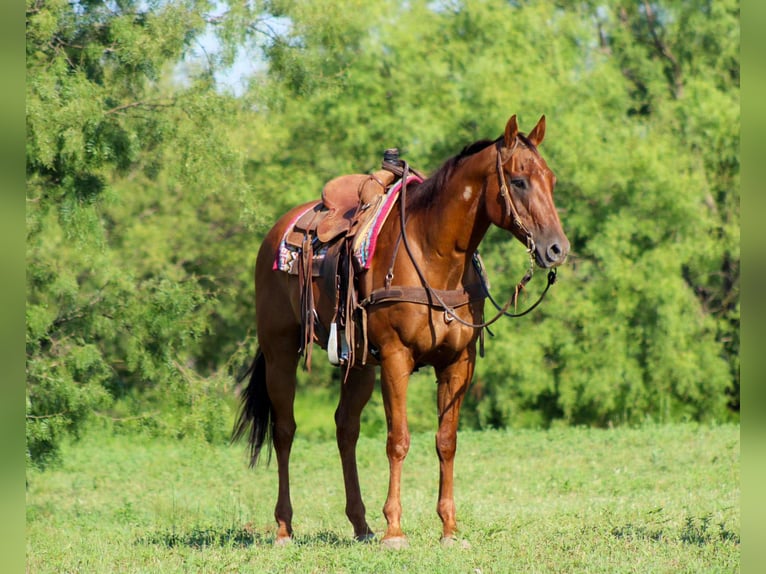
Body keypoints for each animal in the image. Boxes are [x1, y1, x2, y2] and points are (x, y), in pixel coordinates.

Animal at [233, 114, 569, 548]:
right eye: (519, 181)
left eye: (551, 179)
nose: (557, 249)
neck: (433, 253)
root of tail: (276, 232)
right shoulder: (396, 358)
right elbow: (398, 440)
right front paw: (395, 530)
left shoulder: (458, 364)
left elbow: (446, 441)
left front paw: (449, 529)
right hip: (281, 352)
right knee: (285, 430)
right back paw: (284, 528)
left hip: (358, 364)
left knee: (346, 428)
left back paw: (361, 526)